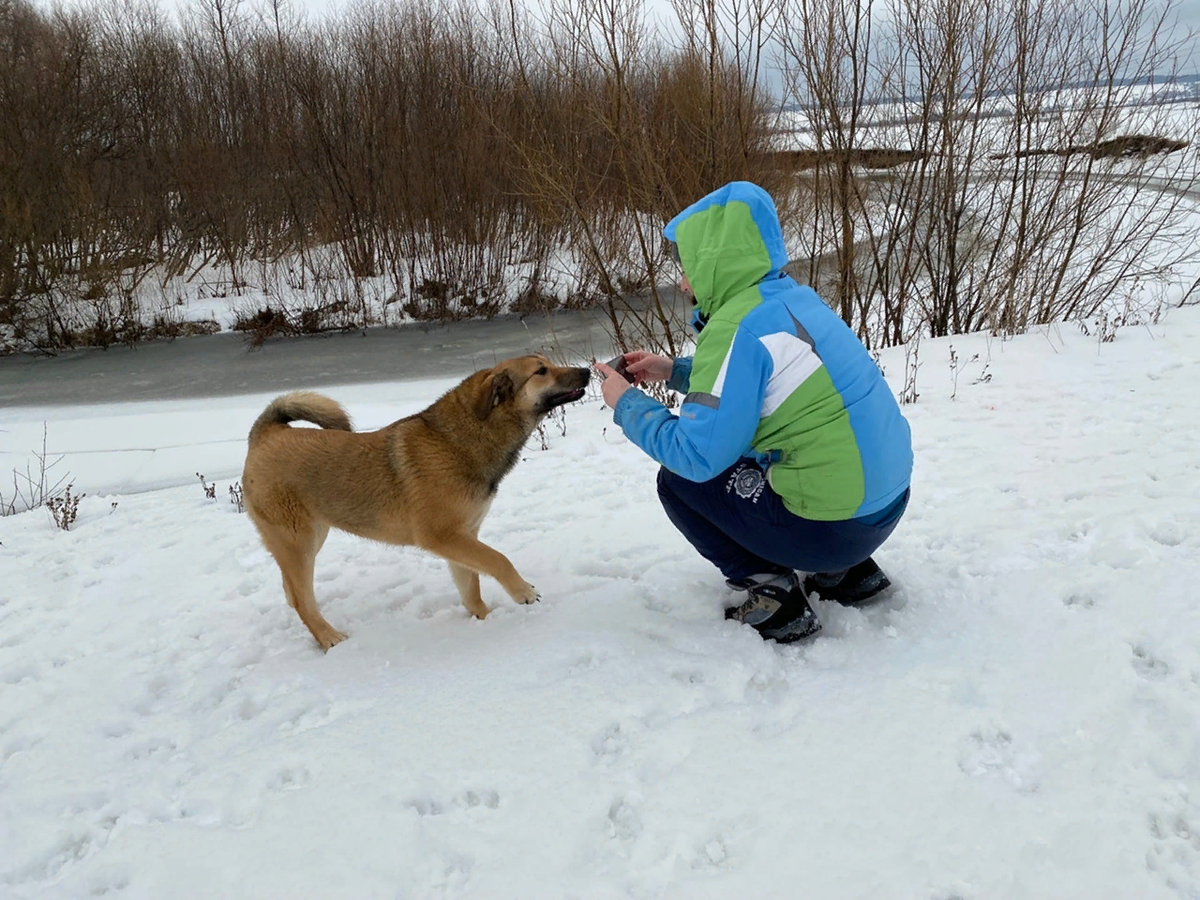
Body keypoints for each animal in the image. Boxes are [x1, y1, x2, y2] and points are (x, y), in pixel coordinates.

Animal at [240, 352, 590, 648]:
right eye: (541, 371)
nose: (587, 371)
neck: (459, 441)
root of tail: (265, 434)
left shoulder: (462, 537)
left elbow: (471, 587)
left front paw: (483, 620)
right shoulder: (442, 536)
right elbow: (498, 559)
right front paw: (522, 592)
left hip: (312, 536)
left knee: (291, 591)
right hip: (298, 541)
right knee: (302, 599)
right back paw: (329, 638)